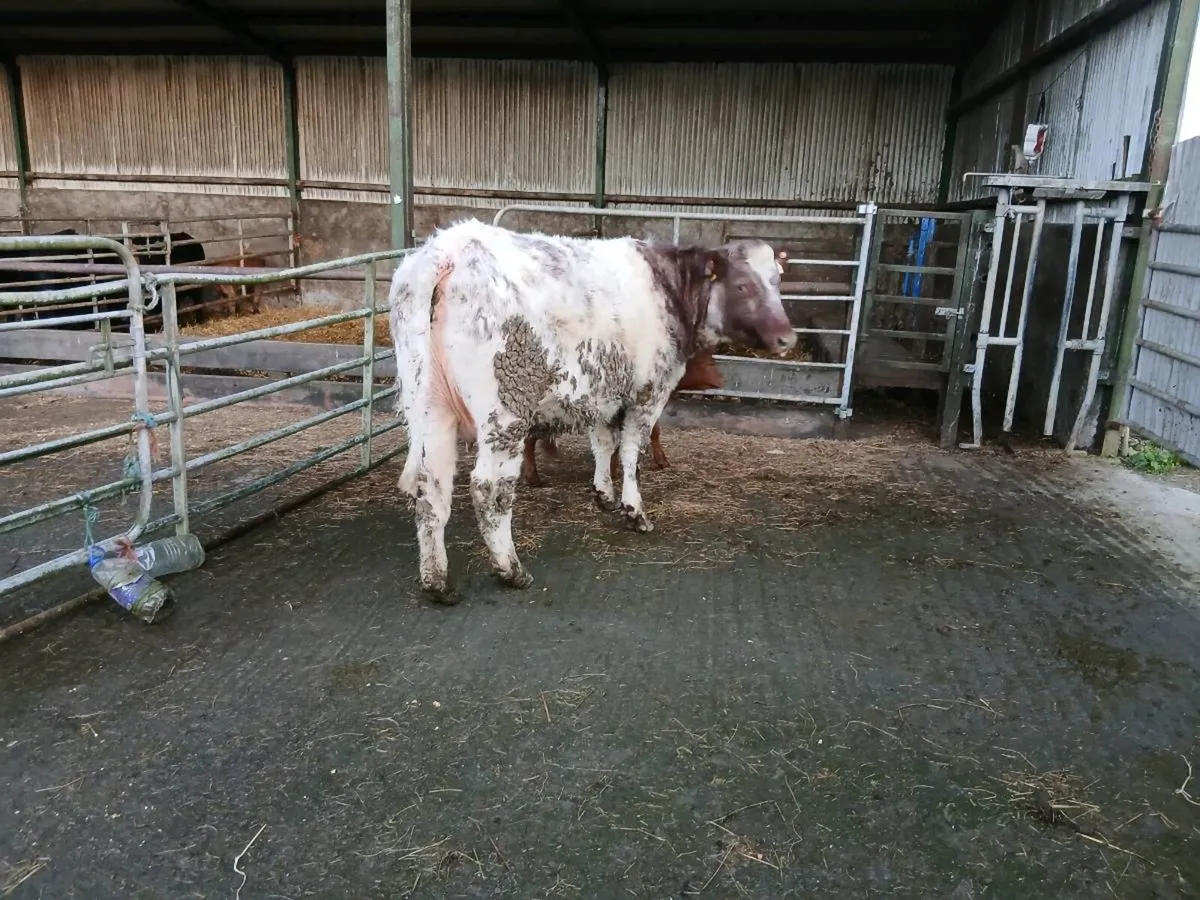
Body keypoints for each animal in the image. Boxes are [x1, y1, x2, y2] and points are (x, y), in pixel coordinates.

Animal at [519, 347, 724, 487]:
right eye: (706, 360)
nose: (721, 379)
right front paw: (614, 471)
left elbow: (654, 432)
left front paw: (662, 462)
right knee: (529, 438)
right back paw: (533, 477)